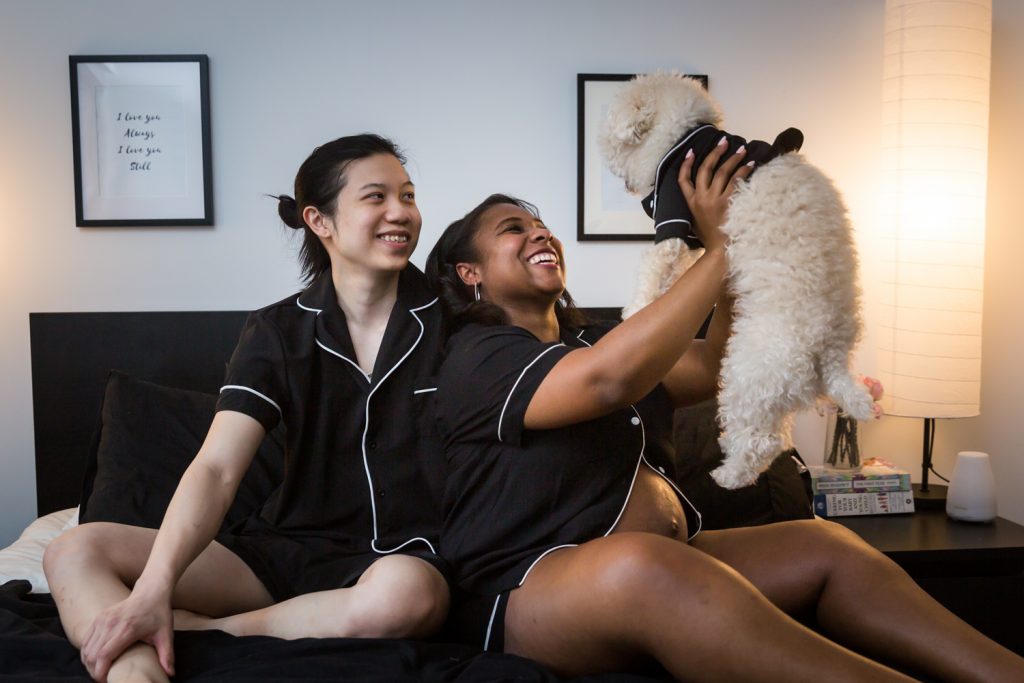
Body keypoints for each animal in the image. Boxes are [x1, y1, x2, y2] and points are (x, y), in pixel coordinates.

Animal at [598, 72, 876, 489]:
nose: (627, 185)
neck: (687, 136)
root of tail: (831, 352)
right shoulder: (693, 237)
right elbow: (676, 271)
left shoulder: (674, 213)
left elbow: (656, 265)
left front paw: (636, 311)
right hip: (775, 384)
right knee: (778, 437)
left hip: (749, 374)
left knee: (763, 440)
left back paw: (729, 474)